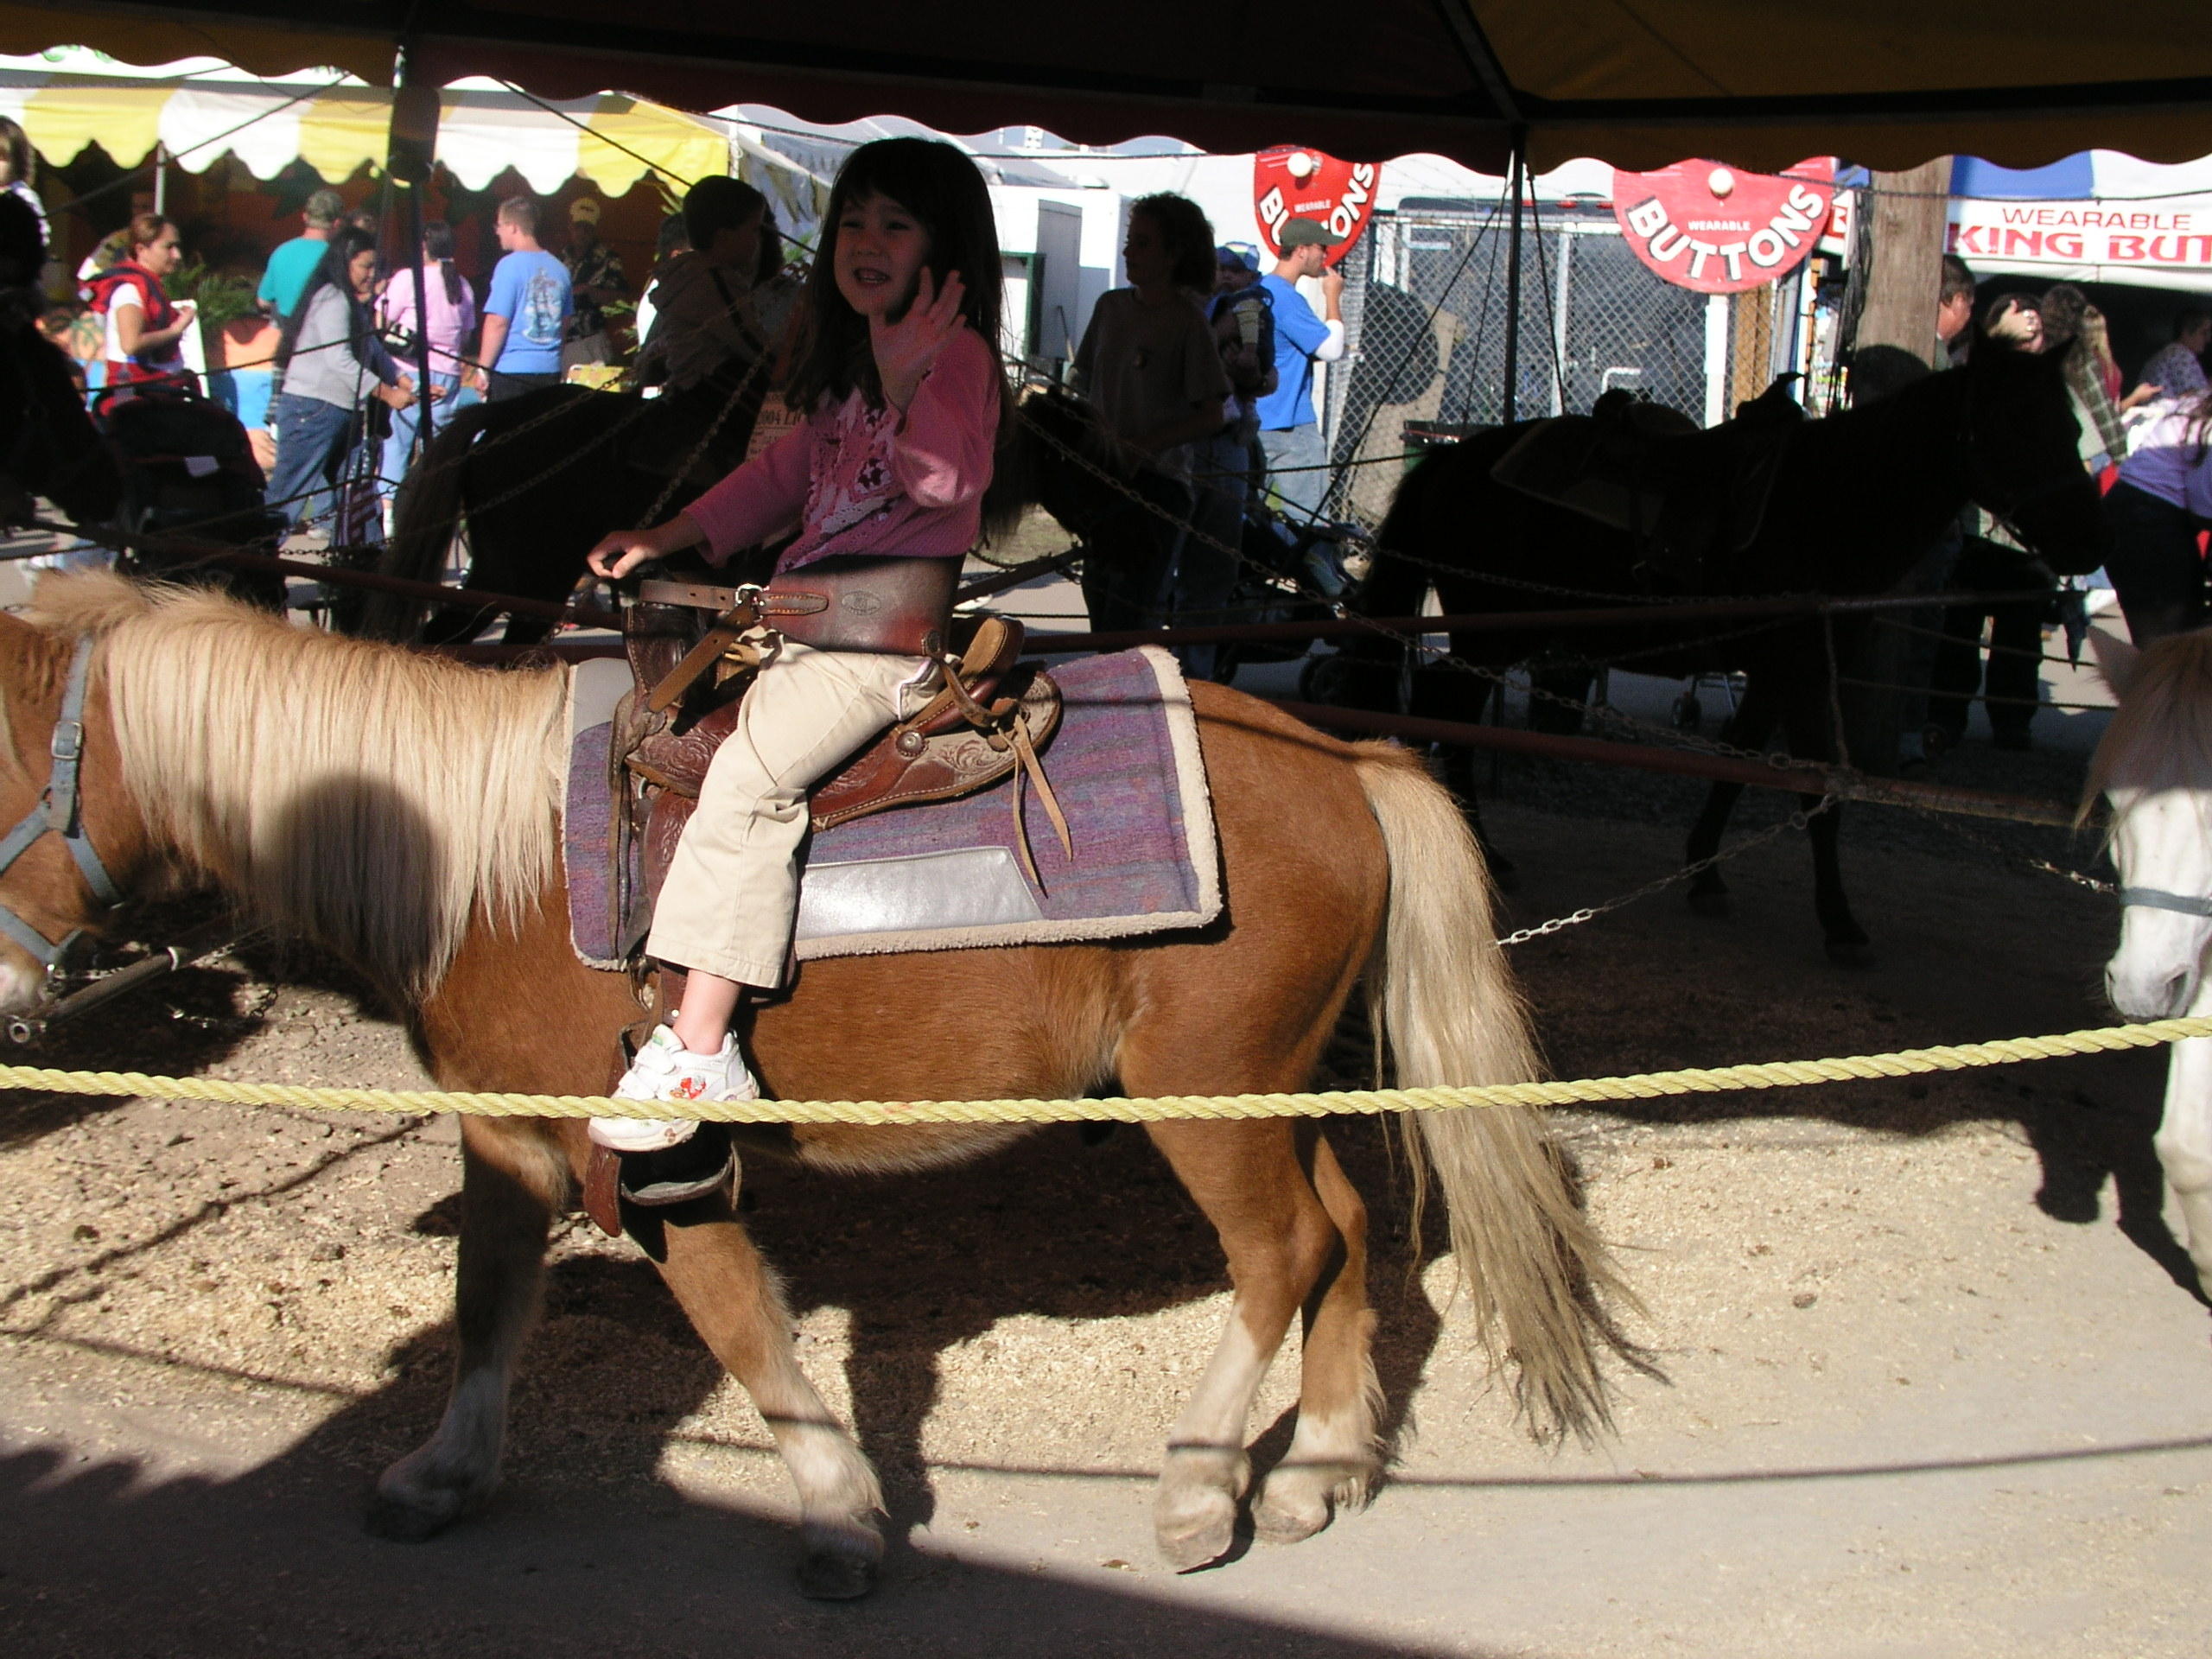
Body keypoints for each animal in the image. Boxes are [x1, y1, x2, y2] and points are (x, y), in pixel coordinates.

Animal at [0, 570, 1645, 1601]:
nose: (14, 996)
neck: (479, 853)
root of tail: (1348, 760)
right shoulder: (506, 1134)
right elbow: (487, 1301)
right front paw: (442, 1473)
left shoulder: (650, 1163)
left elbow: (743, 1332)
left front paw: (842, 1516)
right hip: (1269, 1090)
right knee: (1351, 1237)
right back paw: (1322, 1468)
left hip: (1203, 1094)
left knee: (1283, 1251)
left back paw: (1196, 1492)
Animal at [1318, 345, 2096, 960]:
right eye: (2015, 424)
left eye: (2070, 423)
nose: (2087, 540)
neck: (1831, 501)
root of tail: (1450, 460)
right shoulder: (1806, 672)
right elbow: (1818, 790)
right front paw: (1840, 923)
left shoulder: (1776, 674)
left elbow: (1739, 762)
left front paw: (1706, 873)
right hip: (1493, 630)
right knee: (1446, 712)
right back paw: (1483, 849)